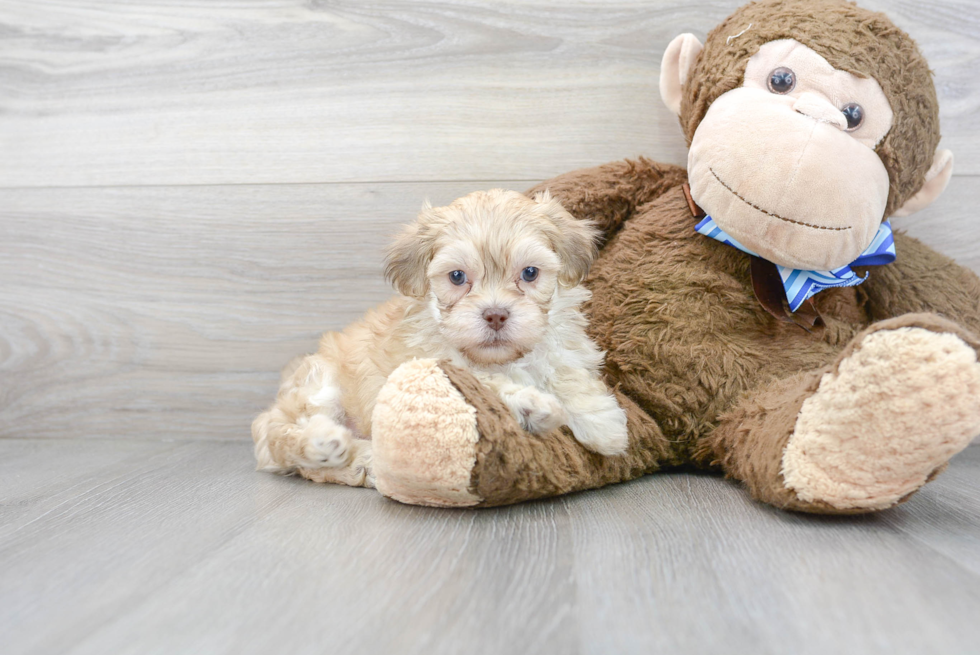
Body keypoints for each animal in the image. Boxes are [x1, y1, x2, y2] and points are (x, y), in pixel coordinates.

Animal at [251, 190, 628, 486]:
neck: (500, 359)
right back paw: (329, 444)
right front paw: (532, 405)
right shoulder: (427, 367)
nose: (495, 314)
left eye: (530, 273)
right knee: (289, 440)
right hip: (317, 385)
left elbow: (566, 372)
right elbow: (483, 384)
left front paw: (603, 424)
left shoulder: (560, 347)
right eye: (457, 277)